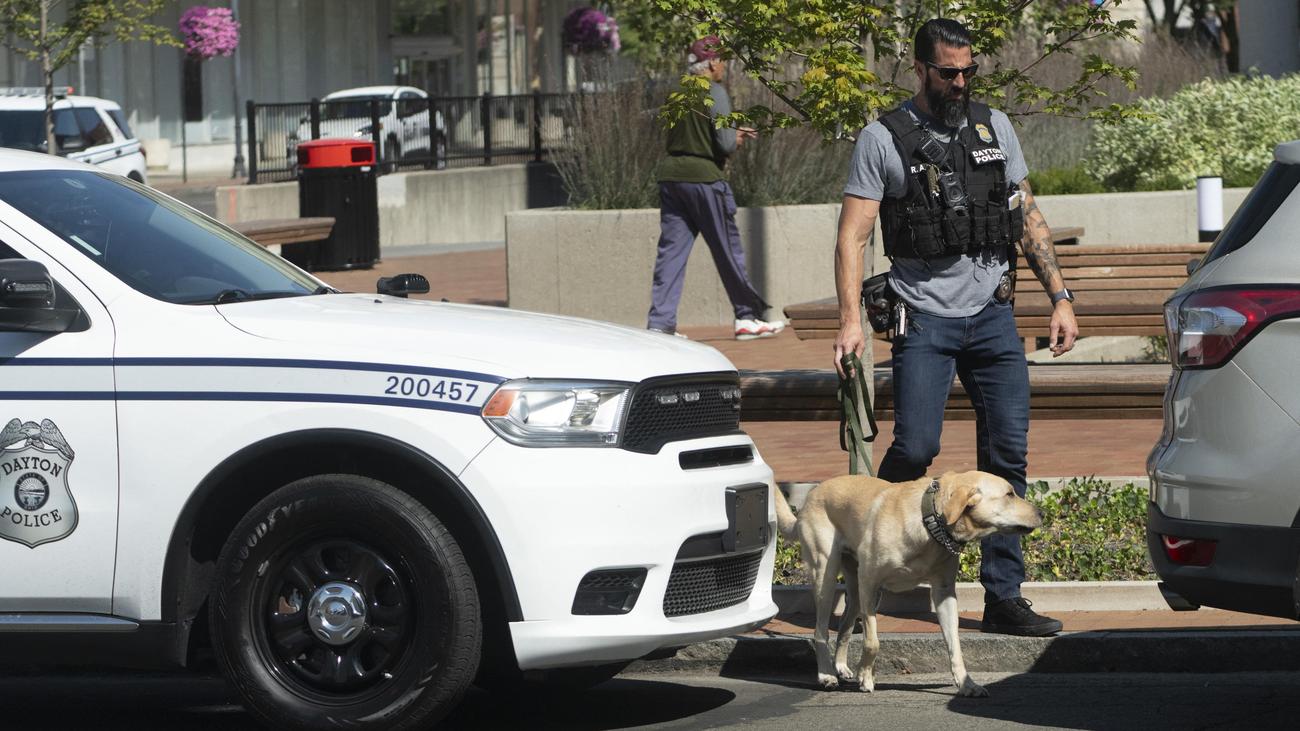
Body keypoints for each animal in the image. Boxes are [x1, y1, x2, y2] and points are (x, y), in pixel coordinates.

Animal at [774, 465, 1040, 691]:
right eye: (1009, 494)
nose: (1041, 512)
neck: (930, 523)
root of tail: (811, 495)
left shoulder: (944, 593)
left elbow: (954, 645)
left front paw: (967, 684)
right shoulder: (870, 583)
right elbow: (873, 642)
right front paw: (866, 677)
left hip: (855, 586)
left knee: (845, 626)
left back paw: (841, 666)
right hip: (826, 575)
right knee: (820, 631)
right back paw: (827, 674)